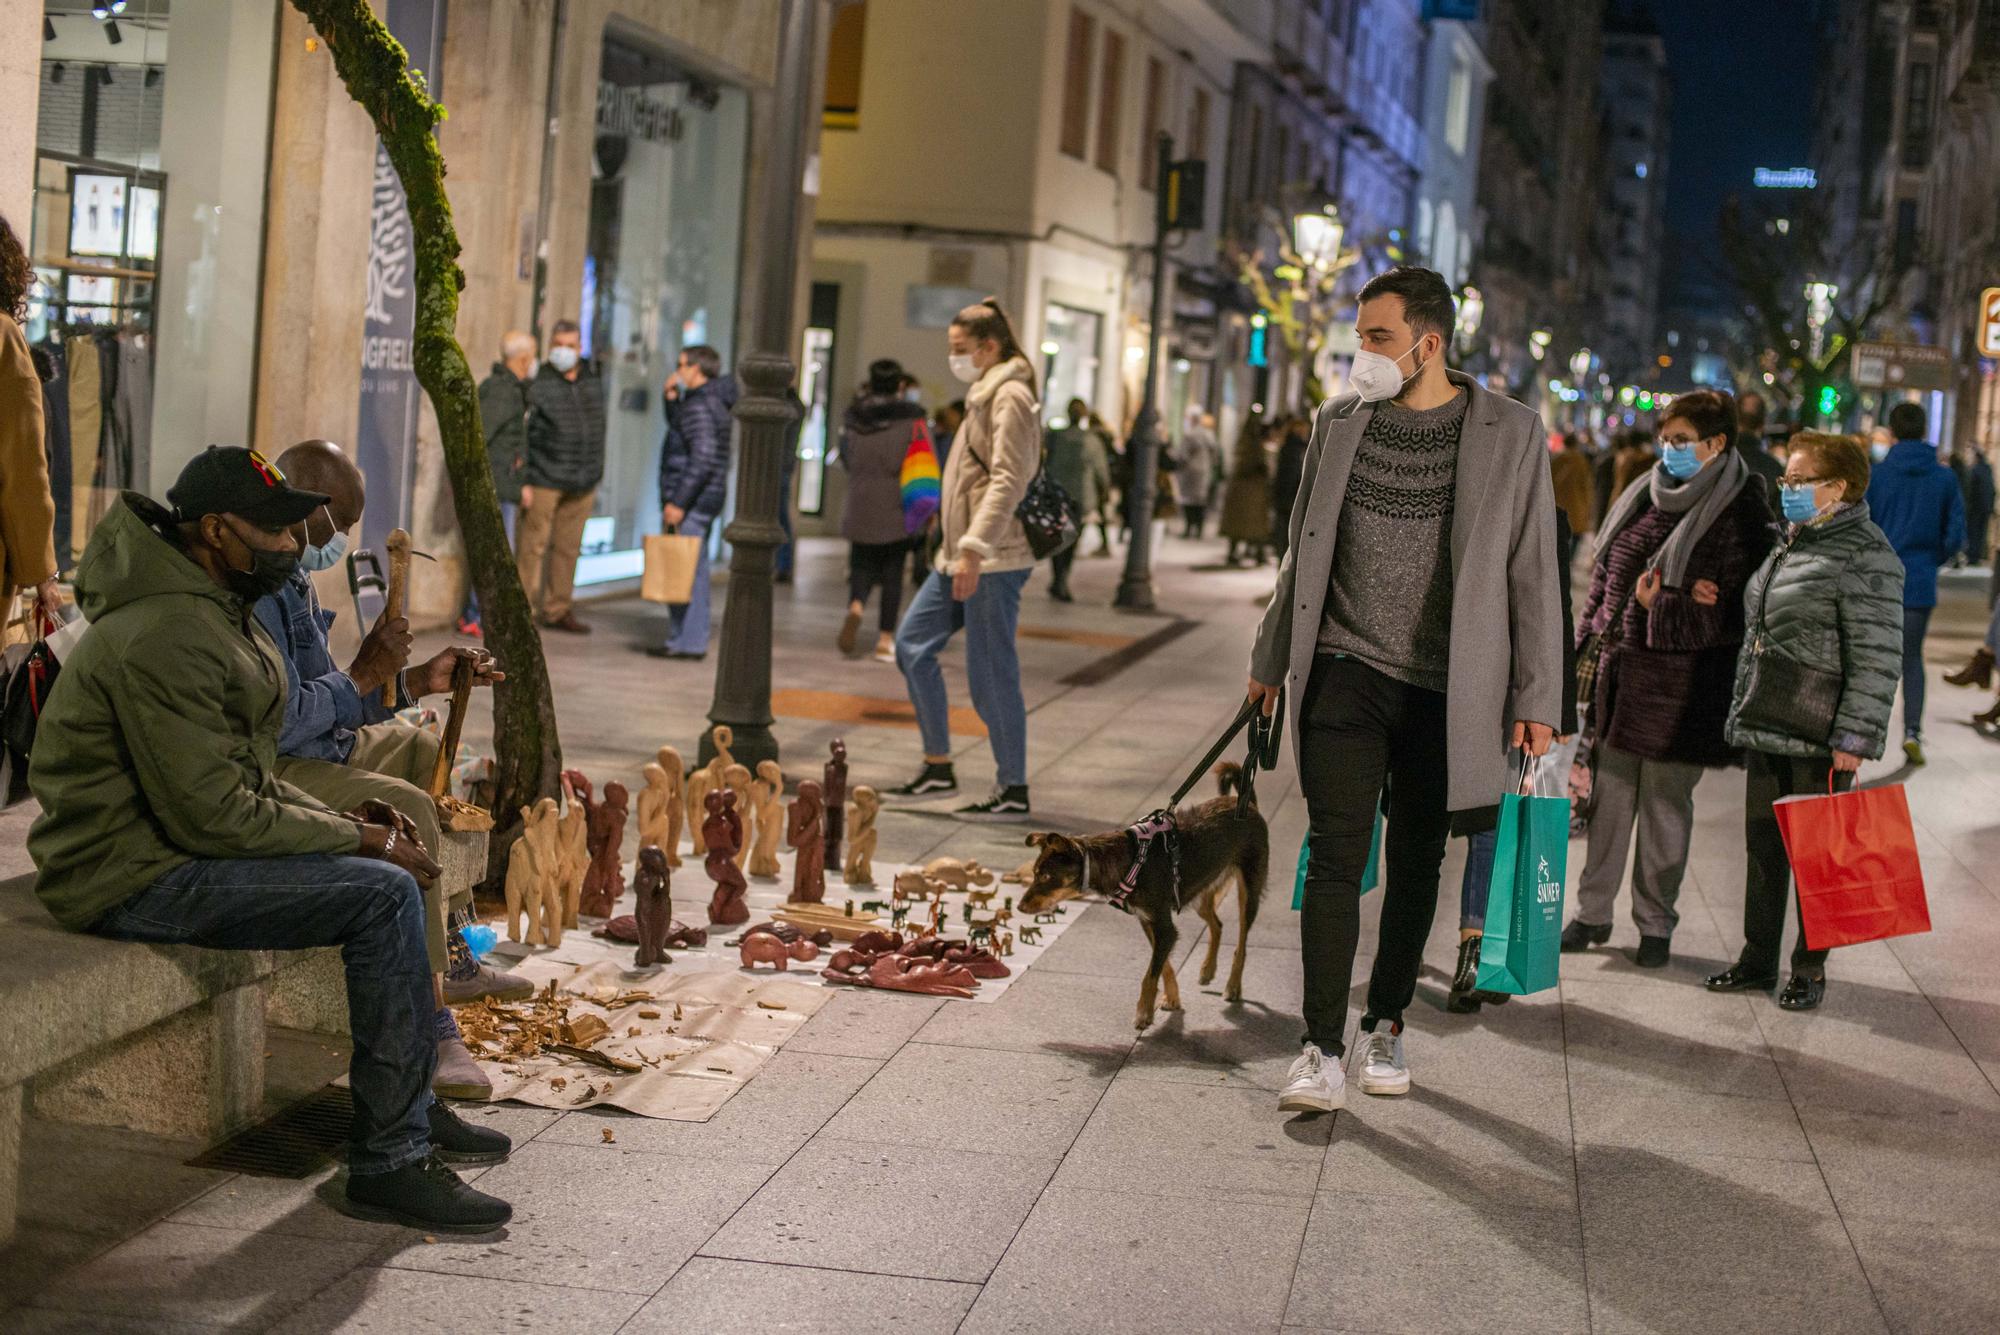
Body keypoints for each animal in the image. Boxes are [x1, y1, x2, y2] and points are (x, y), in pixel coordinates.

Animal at [1016, 759, 1264, 1031]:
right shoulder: (1147, 921)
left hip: (1248, 889)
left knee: (1241, 941)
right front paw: (1172, 998)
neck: (1129, 861)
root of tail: (1247, 803)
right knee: (1217, 925)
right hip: (1204, 892)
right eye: (1035, 873)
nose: (1019, 908)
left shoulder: (1164, 928)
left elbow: (1150, 974)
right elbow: (1164, 967)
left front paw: (1144, 1014)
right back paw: (1208, 970)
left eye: (1045, 877)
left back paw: (1232, 986)